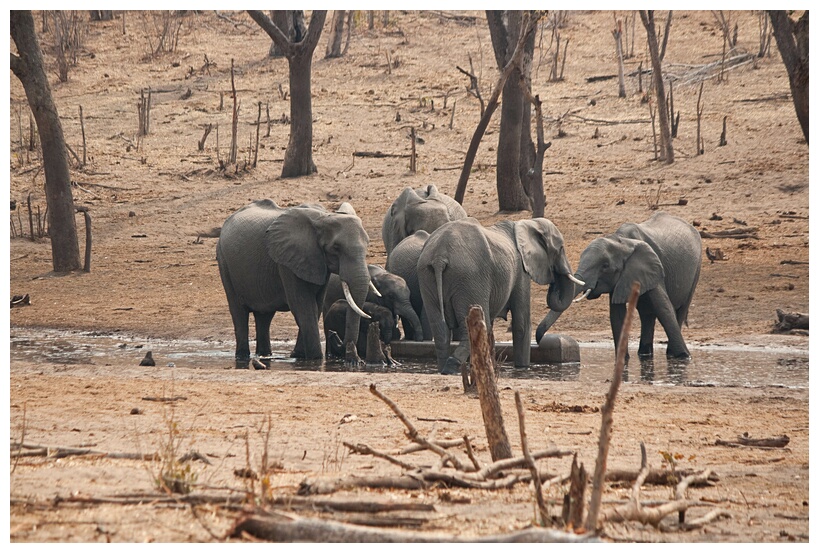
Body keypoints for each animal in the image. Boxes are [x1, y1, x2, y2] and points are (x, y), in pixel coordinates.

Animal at [218, 199, 372, 366]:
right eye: (336, 248)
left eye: (367, 245)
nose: (334, 334)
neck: (324, 217)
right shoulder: (287, 261)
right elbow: (302, 305)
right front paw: (314, 359)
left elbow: (316, 306)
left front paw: (299, 356)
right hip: (224, 263)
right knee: (239, 312)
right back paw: (243, 357)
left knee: (264, 316)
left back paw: (265, 355)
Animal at [420, 216, 580, 376]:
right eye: (560, 248)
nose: (554, 284)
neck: (528, 223)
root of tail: (440, 256)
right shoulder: (521, 270)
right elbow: (521, 324)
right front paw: (522, 368)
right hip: (468, 278)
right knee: (474, 327)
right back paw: (452, 366)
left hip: (428, 277)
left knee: (440, 329)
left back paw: (444, 369)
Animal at [540, 209, 704, 360]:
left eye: (605, 266)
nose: (539, 340)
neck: (622, 241)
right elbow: (617, 315)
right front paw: (622, 360)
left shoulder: (653, 266)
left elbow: (663, 307)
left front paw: (683, 356)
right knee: (647, 314)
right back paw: (644, 354)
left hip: (697, 267)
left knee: (679, 310)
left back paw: (669, 354)